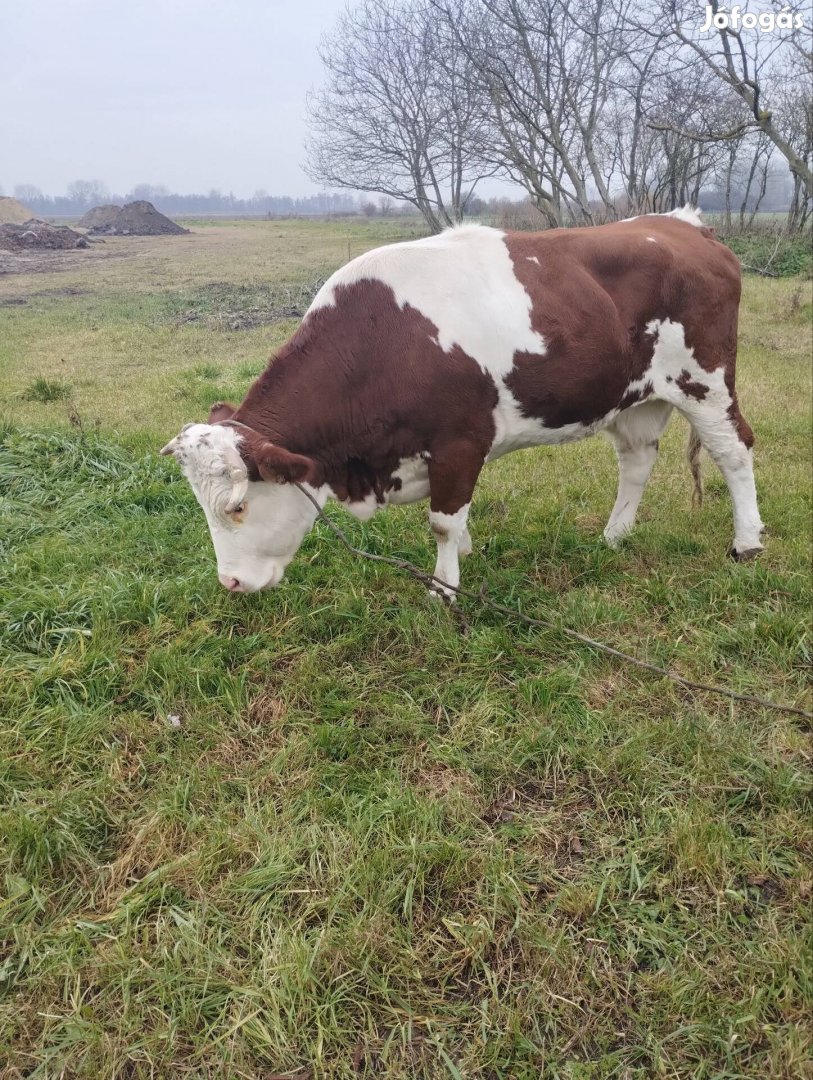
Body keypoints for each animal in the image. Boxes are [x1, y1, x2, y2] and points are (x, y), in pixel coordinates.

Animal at [163, 208, 760, 600]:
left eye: (237, 507)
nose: (230, 582)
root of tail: (684, 224)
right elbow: (454, 519)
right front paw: (464, 558)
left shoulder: (460, 441)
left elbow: (443, 522)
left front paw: (444, 590)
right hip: (635, 395)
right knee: (636, 460)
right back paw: (613, 537)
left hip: (705, 381)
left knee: (735, 451)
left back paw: (747, 544)